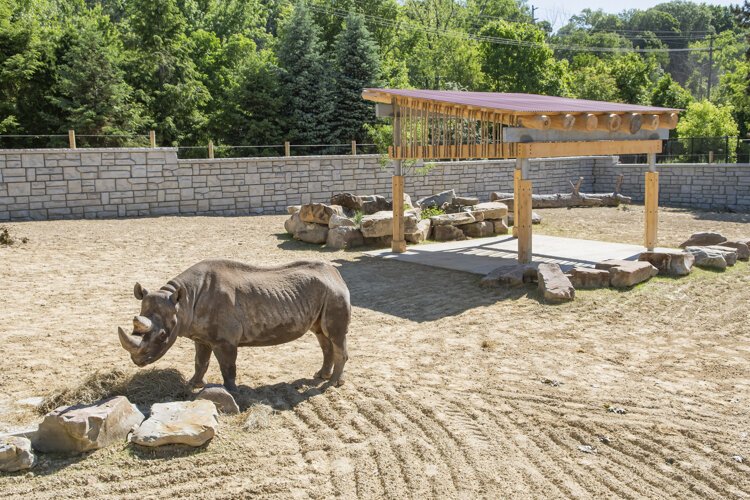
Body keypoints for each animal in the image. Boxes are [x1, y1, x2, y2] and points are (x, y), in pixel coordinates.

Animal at [117, 259, 350, 390]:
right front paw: (193, 385)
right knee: (322, 335)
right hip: (325, 294)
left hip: (334, 294)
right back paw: (321, 376)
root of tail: (336, 274)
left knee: (334, 336)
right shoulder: (201, 335)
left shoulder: (225, 340)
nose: (137, 361)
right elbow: (200, 361)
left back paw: (331, 385)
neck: (182, 302)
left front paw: (231, 391)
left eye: (162, 335)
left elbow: (227, 366)